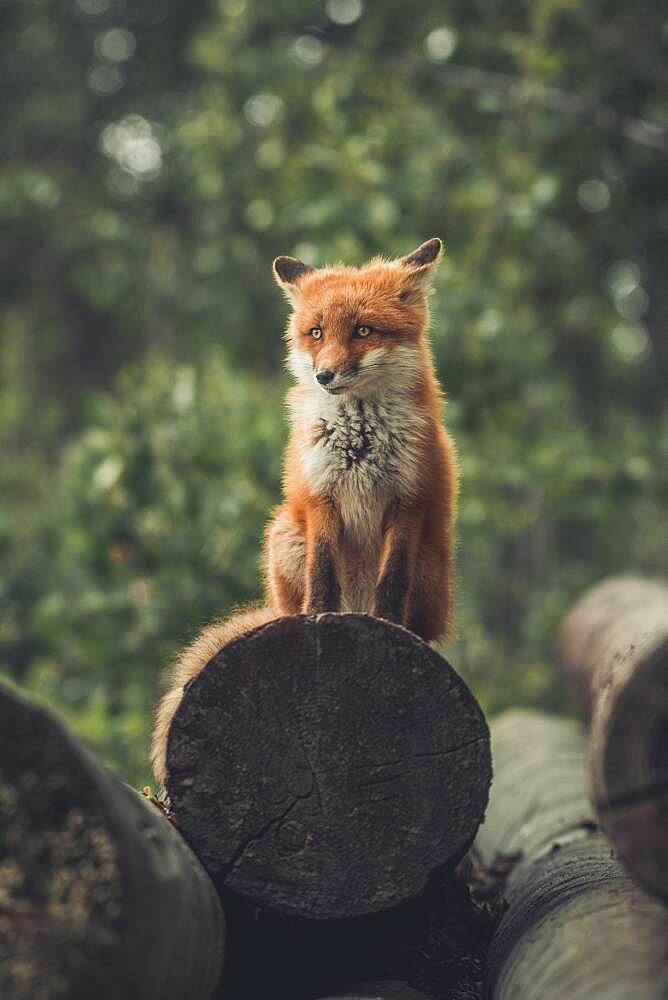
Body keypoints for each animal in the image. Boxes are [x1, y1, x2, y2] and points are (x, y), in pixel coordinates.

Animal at [149, 238, 456, 784]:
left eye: (363, 331)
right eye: (315, 333)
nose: (324, 375)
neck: (359, 437)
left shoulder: (408, 502)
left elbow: (391, 581)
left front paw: (390, 627)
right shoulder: (320, 497)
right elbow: (322, 573)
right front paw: (317, 619)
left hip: (430, 563)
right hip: (282, 533)